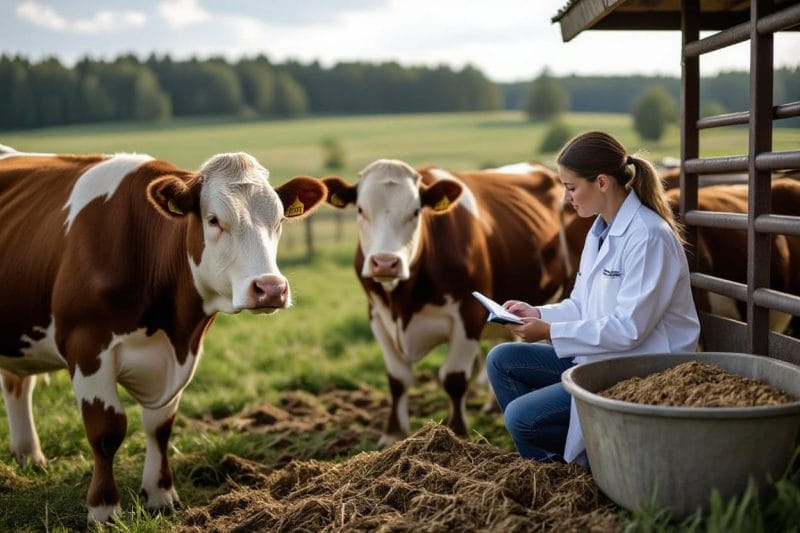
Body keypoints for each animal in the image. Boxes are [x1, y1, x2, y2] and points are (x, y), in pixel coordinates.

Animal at [0, 146, 327, 523]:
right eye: (213, 219)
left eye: (278, 221)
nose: (271, 288)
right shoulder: (86, 347)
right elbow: (106, 429)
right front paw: (104, 509)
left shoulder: (180, 354)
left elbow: (160, 427)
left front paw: (160, 496)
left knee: (17, 383)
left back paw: (29, 455)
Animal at [322, 159, 592, 446]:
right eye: (361, 209)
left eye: (415, 211)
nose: (385, 262)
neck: (402, 302)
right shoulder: (377, 315)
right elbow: (397, 379)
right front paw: (393, 434)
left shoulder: (468, 315)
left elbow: (454, 378)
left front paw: (458, 433)